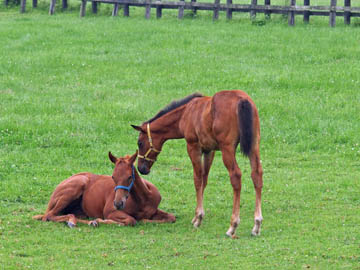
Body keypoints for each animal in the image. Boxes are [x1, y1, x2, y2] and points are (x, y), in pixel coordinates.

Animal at [32, 152, 176, 226]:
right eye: (113, 177)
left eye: (129, 177)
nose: (118, 203)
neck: (143, 199)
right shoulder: (110, 211)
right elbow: (131, 220)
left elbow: (171, 217)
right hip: (77, 184)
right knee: (48, 216)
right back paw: (78, 222)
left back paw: (88, 222)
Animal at [132, 90, 264, 236]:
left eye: (140, 143)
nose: (141, 168)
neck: (186, 112)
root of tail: (242, 100)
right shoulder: (209, 150)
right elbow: (204, 180)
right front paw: (197, 216)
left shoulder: (193, 147)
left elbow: (197, 179)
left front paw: (198, 218)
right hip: (254, 146)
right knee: (257, 174)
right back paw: (257, 224)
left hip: (227, 149)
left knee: (235, 176)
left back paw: (233, 225)